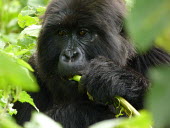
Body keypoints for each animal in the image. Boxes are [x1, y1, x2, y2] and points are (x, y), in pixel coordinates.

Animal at [14, 0, 170, 127]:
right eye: (62, 33)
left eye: (82, 33)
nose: (70, 55)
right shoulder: (31, 72)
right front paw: (86, 112)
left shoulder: (156, 54)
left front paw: (113, 78)